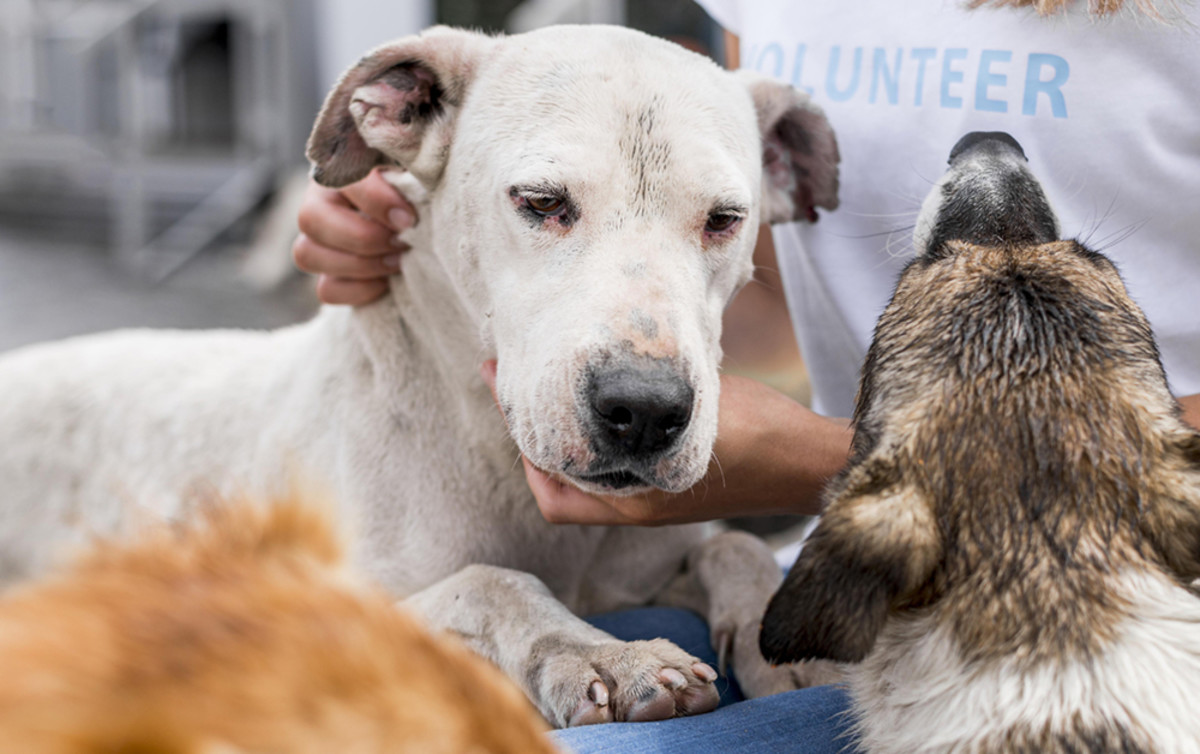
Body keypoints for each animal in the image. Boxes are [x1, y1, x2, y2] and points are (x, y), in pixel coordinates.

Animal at [0, 26, 840, 725]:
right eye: (540, 202)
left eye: (725, 219)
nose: (645, 410)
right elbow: (492, 583)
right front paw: (602, 654)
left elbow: (736, 549)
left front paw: (784, 635)